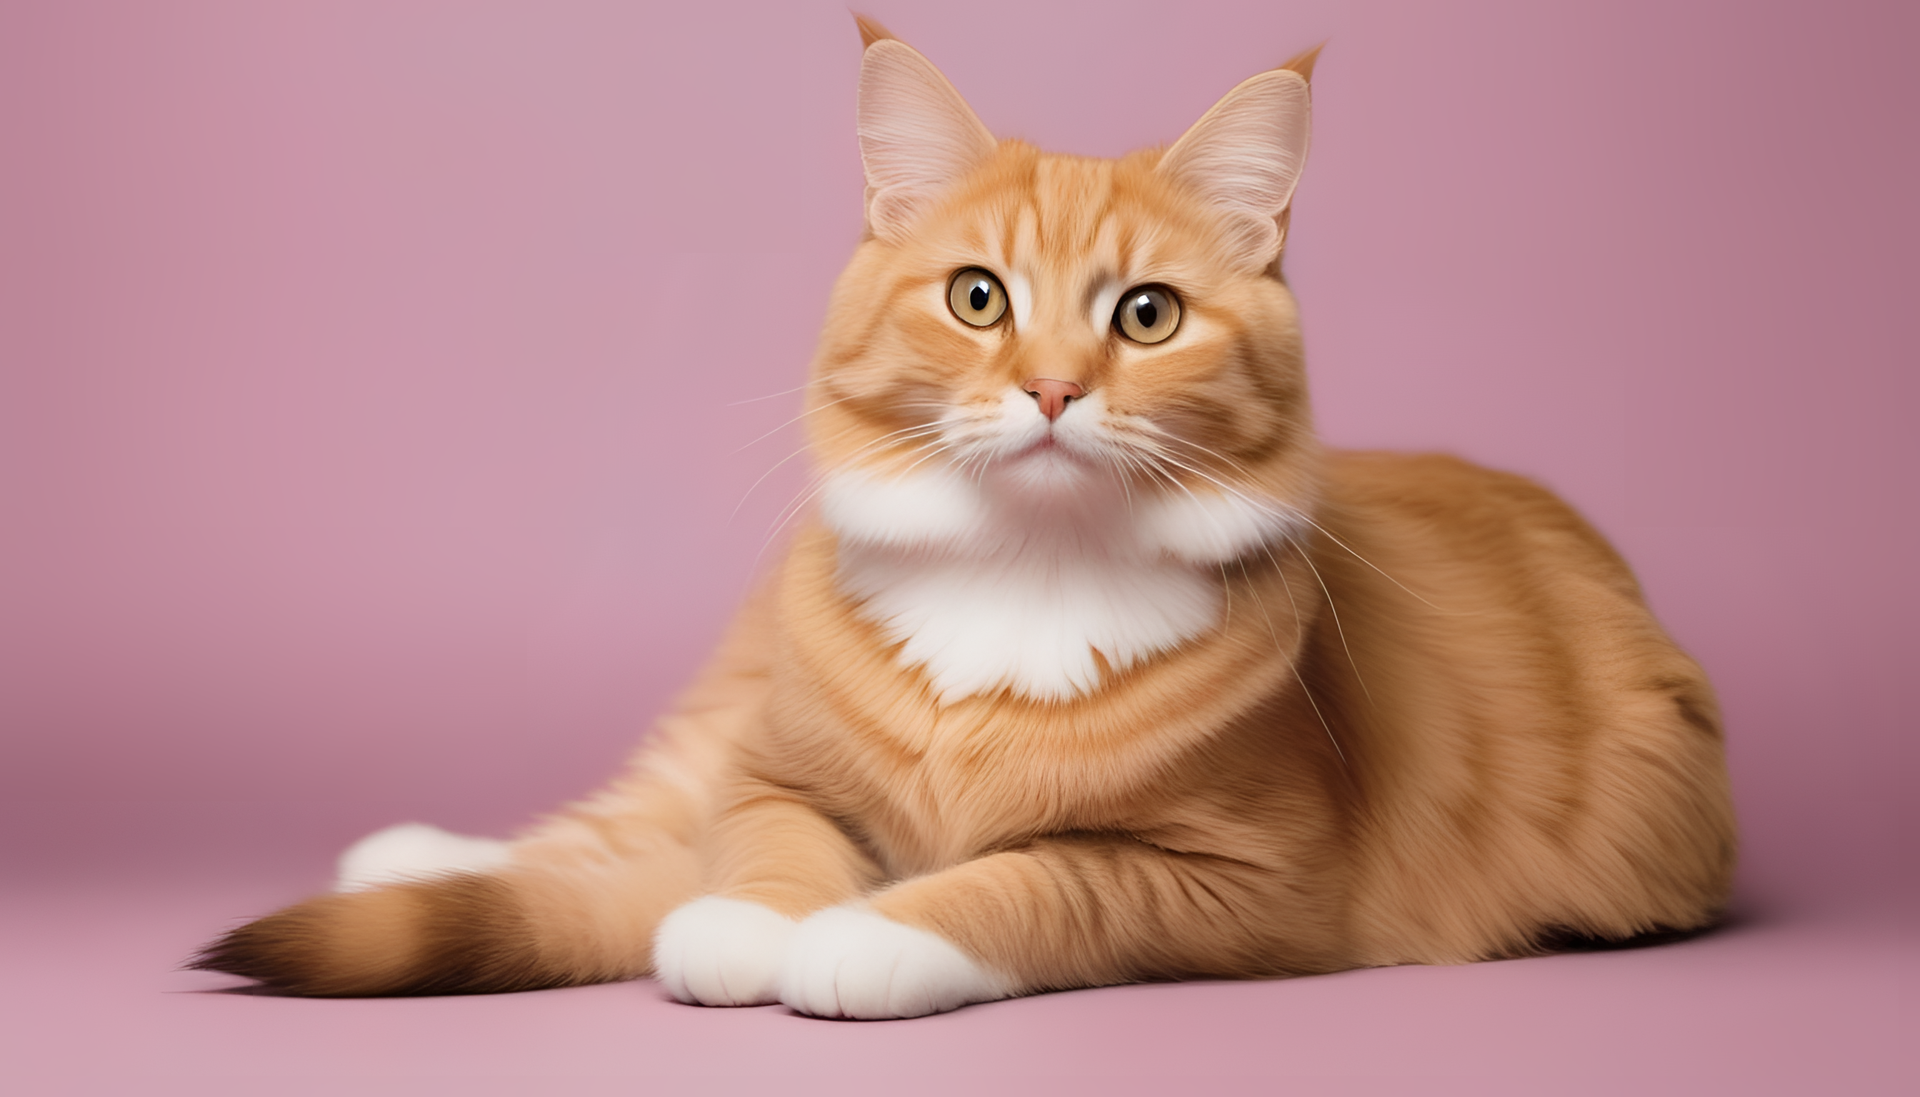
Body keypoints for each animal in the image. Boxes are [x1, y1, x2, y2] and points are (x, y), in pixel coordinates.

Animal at [194, 19, 1743, 1022]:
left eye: (1146, 315)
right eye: (978, 297)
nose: (1053, 387)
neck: (1022, 574)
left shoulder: (1244, 877)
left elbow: (1027, 883)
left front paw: (864, 936)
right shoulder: (776, 775)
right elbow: (751, 843)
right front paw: (751, 922)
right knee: (626, 815)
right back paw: (418, 852)